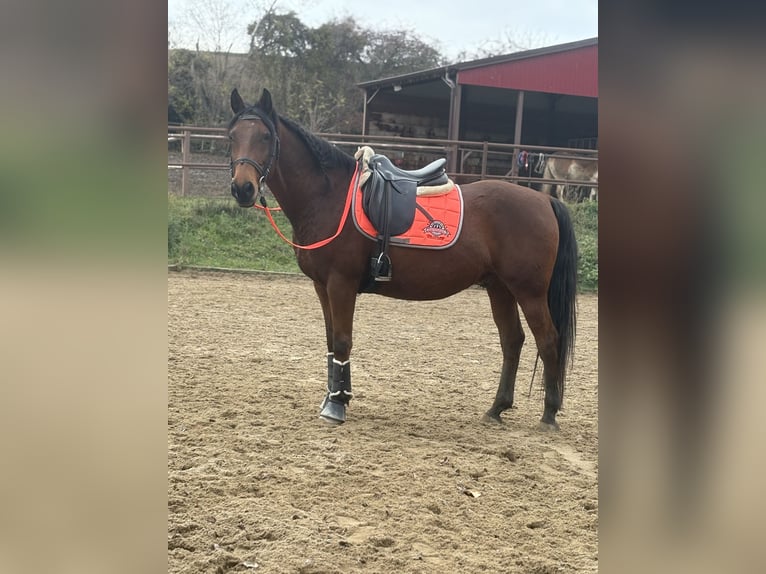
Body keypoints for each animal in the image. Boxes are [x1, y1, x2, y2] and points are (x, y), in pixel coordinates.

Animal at [228, 88, 578, 431]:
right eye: (232, 136)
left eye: (265, 137)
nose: (242, 188)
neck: (329, 197)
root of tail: (544, 200)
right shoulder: (321, 286)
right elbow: (330, 342)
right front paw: (335, 397)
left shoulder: (341, 284)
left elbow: (342, 341)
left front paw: (336, 406)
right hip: (500, 288)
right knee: (512, 341)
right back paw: (497, 408)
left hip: (529, 291)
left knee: (548, 341)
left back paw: (549, 415)